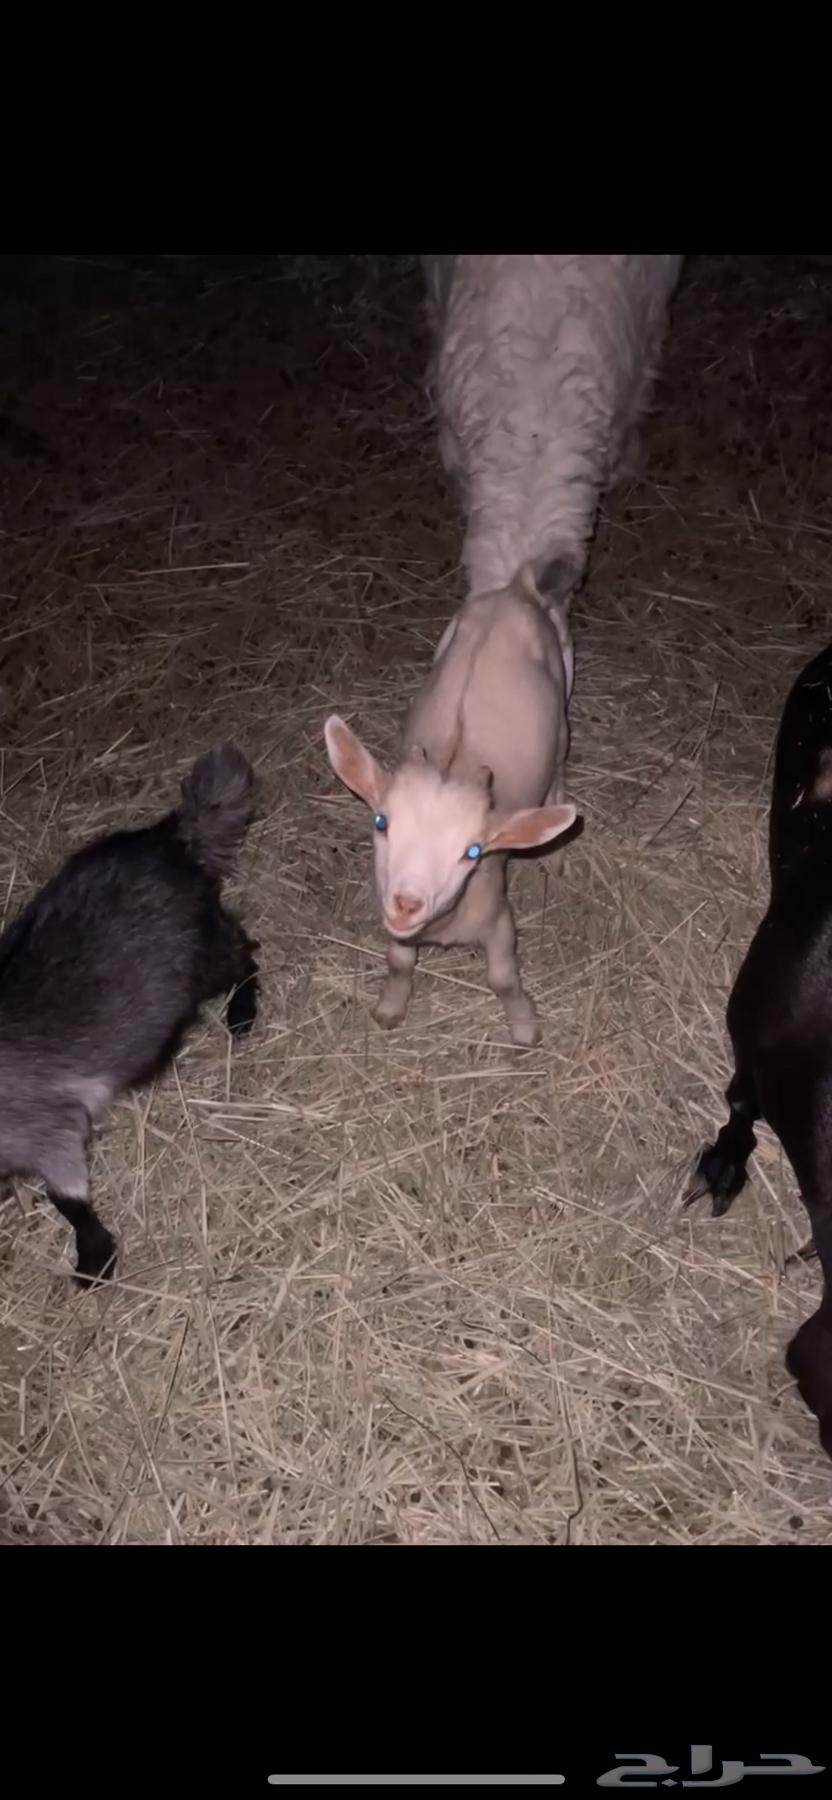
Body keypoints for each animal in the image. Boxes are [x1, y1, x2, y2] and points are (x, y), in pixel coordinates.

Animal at [0, 746, 258, 1285]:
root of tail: (170, 837)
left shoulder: (43, 1125)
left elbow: (67, 1195)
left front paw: (95, 1256)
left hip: (199, 956)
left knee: (244, 951)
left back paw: (243, 1010)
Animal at [324, 566, 576, 1047]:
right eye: (381, 822)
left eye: (472, 851)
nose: (407, 903)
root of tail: (517, 586)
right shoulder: (394, 924)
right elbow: (399, 963)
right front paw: (390, 1008)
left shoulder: (498, 919)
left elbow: (503, 979)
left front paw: (524, 1026)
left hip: (562, 706)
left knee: (557, 773)